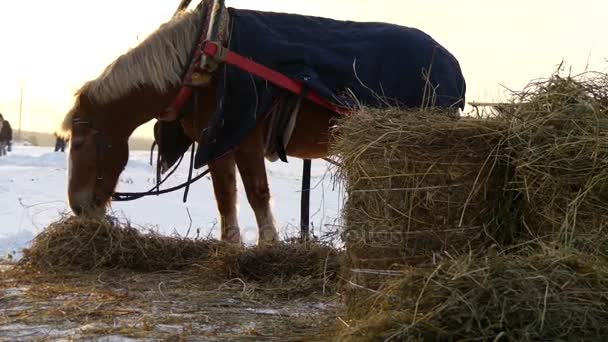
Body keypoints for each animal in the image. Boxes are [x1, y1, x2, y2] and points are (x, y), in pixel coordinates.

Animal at [60, 1, 466, 244]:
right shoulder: (216, 140)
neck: (203, 58)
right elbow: (225, 195)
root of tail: (451, 63)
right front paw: (231, 246)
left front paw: (268, 246)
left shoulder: (244, 137)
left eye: (78, 143)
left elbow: (257, 192)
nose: (79, 208)